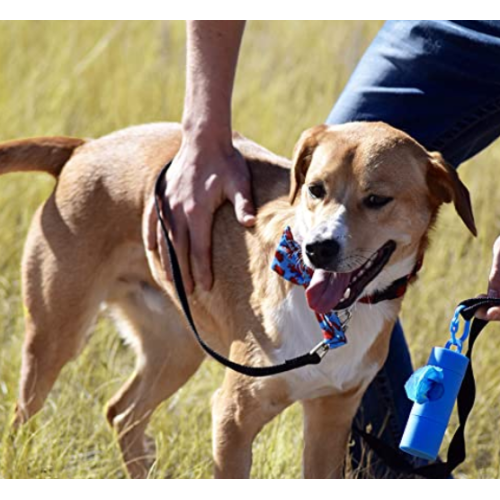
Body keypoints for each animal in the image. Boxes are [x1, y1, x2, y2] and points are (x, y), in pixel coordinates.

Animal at [1, 121, 474, 476]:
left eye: (377, 199)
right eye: (315, 189)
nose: (317, 250)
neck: (337, 318)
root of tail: (84, 148)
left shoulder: (330, 417)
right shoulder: (233, 417)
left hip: (177, 350)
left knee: (122, 414)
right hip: (56, 336)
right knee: (24, 415)